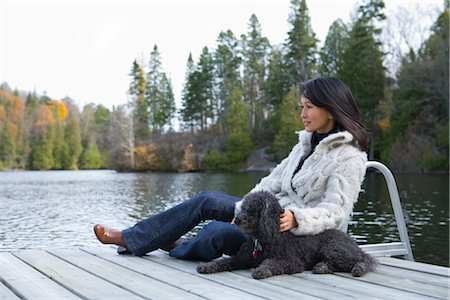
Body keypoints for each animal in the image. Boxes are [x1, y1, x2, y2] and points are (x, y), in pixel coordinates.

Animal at [197, 191, 376, 280]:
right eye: (243, 206)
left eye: (252, 209)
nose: (237, 219)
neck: (265, 239)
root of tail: (355, 245)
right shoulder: (241, 258)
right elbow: (224, 261)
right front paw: (207, 266)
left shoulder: (292, 262)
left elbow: (271, 263)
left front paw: (262, 270)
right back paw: (322, 267)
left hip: (333, 249)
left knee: (363, 261)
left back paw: (358, 268)